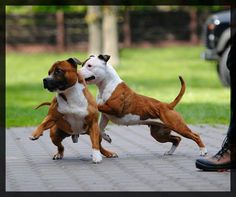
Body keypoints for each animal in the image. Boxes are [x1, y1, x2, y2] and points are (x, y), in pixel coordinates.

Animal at [79, 54, 208, 156]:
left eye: (89, 65)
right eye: (83, 64)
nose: (78, 72)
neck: (107, 84)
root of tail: (168, 106)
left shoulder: (114, 109)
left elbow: (98, 105)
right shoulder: (106, 116)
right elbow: (101, 129)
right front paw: (106, 137)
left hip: (178, 126)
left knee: (194, 135)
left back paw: (203, 151)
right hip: (158, 133)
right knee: (177, 138)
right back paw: (170, 152)